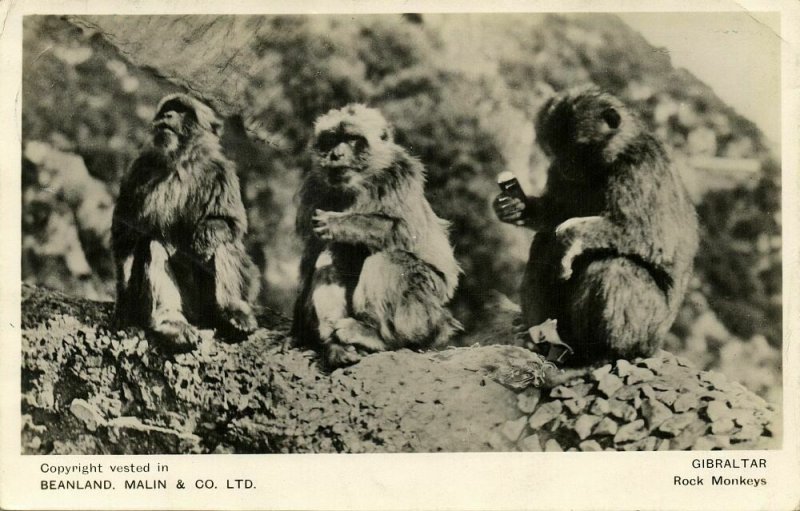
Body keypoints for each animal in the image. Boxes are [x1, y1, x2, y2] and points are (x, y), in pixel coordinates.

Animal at [112, 93, 260, 352]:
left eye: (182, 111)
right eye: (167, 110)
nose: (168, 116)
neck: (181, 162)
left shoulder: (221, 172)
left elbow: (230, 223)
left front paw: (203, 237)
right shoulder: (138, 171)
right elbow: (125, 235)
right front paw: (123, 306)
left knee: (224, 242)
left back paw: (232, 310)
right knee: (152, 245)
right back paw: (172, 322)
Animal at [292, 104, 462, 368]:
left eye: (352, 139)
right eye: (332, 139)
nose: (336, 155)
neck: (361, 182)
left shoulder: (401, 175)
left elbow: (406, 231)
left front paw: (340, 223)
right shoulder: (315, 190)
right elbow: (313, 256)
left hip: (427, 311)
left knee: (388, 258)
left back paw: (376, 335)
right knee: (334, 253)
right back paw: (336, 344)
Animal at [494, 88, 700, 364]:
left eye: (576, 149)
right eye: (556, 149)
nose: (566, 165)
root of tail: (655, 345)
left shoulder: (639, 168)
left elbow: (649, 236)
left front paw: (568, 236)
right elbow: (557, 212)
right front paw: (516, 205)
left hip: (648, 330)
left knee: (612, 268)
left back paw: (602, 353)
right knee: (543, 243)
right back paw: (540, 338)